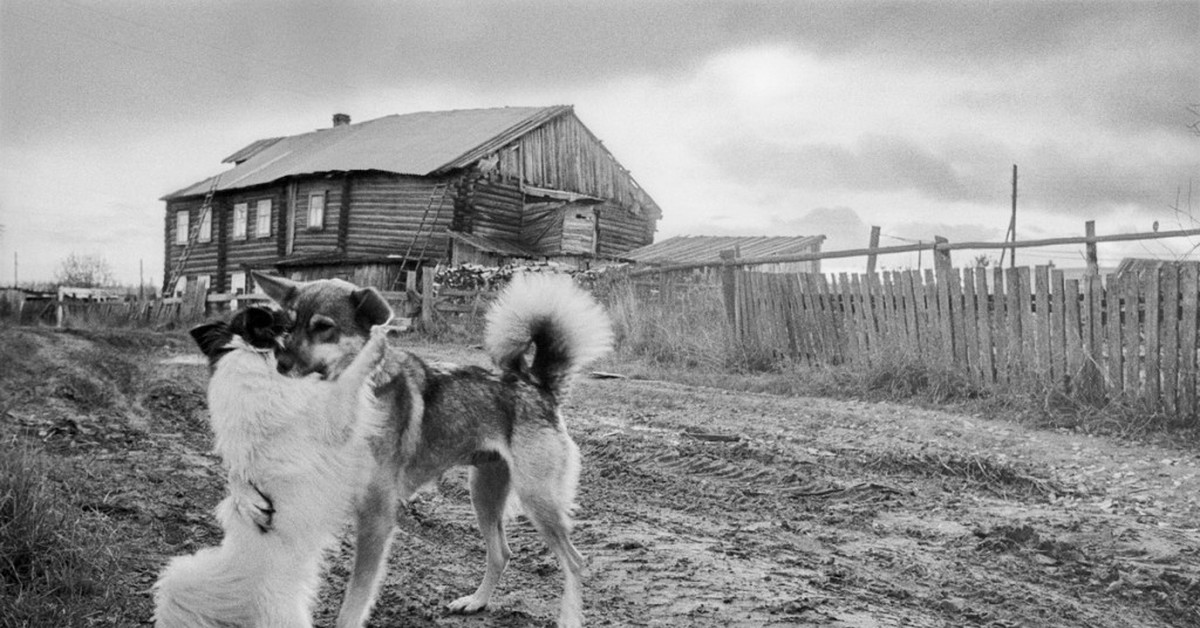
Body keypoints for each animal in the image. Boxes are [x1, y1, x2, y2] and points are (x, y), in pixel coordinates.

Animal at [152, 307, 391, 624]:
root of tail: (239, 578)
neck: (254, 354)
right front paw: (375, 345)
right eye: (275, 316)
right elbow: (350, 379)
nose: (292, 311)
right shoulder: (333, 418)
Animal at [250, 272, 609, 628]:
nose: (280, 363)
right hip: (484, 495)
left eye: (324, 327)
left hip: (537, 499)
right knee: (501, 553)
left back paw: (568, 617)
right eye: (287, 325)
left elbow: (353, 602)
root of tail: (536, 384)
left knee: (574, 561)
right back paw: (476, 601)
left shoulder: (376, 517)